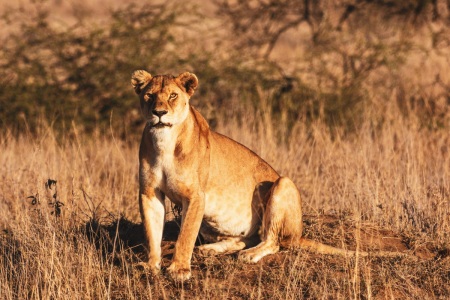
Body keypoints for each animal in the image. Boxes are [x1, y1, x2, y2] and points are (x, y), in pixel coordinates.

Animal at [131, 71, 386, 282]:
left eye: (173, 95)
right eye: (149, 95)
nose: (159, 113)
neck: (164, 141)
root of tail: (299, 234)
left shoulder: (195, 196)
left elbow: (185, 235)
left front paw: (179, 270)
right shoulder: (149, 193)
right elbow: (152, 233)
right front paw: (151, 266)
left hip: (283, 184)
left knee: (273, 241)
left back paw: (249, 255)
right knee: (249, 237)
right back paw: (211, 249)